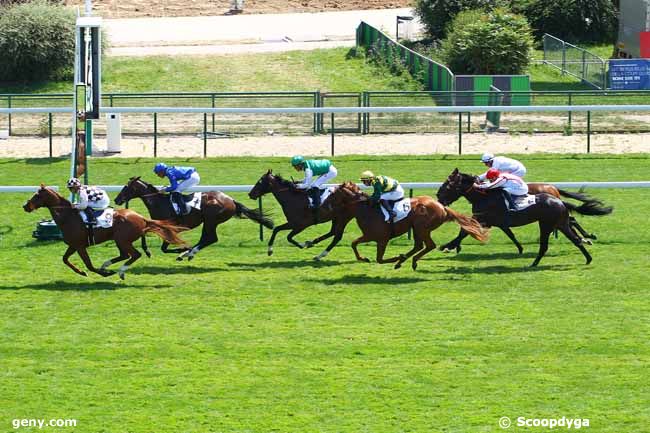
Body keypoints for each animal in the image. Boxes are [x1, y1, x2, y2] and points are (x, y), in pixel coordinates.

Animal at [22, 184, 185, 278]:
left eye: (37, 195)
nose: (25, 206)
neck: (68, 216)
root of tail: (141, 218)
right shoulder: (73, 245)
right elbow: (65, 259)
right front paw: (82, 272)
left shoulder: (80, 246)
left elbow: (88, 264)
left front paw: (104, 274)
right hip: (119, 240)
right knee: (125, 255)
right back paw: (107, 265)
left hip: (123, 240)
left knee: (134, 255)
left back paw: (119, 271)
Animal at [114, 176, 270, 260]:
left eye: (126, 187)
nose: (117, 199)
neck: (159, 202)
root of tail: (231, 200)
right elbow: (145, 233)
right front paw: (148, 251)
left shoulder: (168, 228)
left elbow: (164, 248)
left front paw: (181, 249)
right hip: (209, 222)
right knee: (207, 239)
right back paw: (188, 253)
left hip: (211, 220)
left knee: (210, 238)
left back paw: (187, 253)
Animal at [324, 181, 486, 268]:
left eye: (333, 194)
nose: (326, 205)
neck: (367, 209)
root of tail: (442, 207)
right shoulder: (369, 236)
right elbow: (354, 243)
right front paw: (364, 258)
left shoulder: (381, 239)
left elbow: (379, 259)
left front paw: (396, 257)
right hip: (416, 228)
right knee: (419, 246)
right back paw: (406, 260)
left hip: (422, 228)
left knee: (429, 245)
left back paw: (408, 260)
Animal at [432, 170, 612, 264]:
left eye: (448, 185)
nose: (439, 197)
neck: (484, 197)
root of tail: (557, 196)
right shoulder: (497, 222)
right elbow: (510, 234)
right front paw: (520, 248)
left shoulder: (484, 220)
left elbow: (464, 231)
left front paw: (447, 246)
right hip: (558, 222)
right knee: (572, 229)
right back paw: (586, 246)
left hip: (551, 223)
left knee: (569, 230)